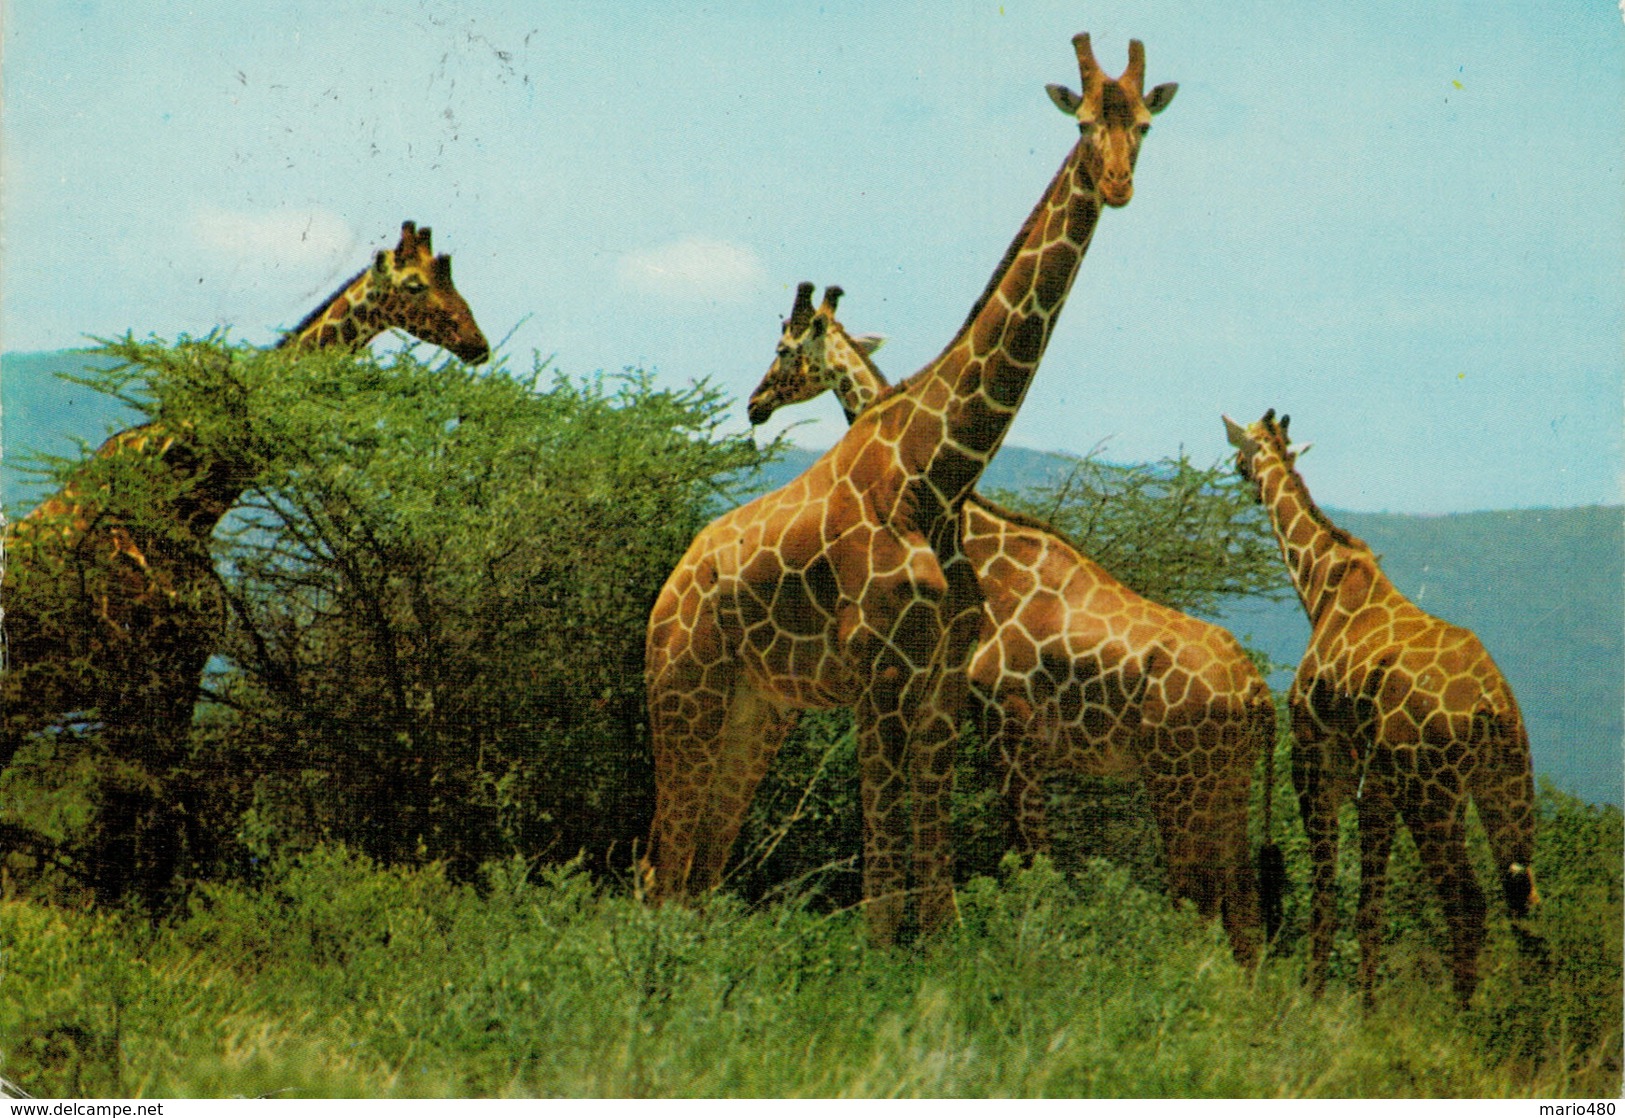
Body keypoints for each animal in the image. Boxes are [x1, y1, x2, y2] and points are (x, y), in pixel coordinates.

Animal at [1, 222, 487, 903]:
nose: (477, 344)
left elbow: (158, 813)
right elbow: (122, 822)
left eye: (453, 275)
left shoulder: (180, 670)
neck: (185, 502)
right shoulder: (131, 674)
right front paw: (120, 915)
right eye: (416, 284)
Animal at [640, 34, 1176, 942]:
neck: (939, 478)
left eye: (1141, 122)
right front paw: (871, 953)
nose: (1116, 184)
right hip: (684, 692)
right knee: (658, 863)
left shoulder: (942, 685)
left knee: (698, 864)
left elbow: (935, 873)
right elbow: (884, 865)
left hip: (757, 709)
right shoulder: (878, 675)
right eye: (1079, 119)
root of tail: (669, 586)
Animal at [744, 286, 1280, 962]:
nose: (755, 404)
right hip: (1226, 785)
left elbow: (1031, 867)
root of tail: (1260, 697)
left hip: (1181, 781)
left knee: (1203, 905)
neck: (980, 538)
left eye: (783, 348)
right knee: (1244, 913)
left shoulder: (1011, 728)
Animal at [1222, 407, 1540, 1007]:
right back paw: (1528, 1027)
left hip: (1430, 795)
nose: (1241, 475)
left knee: (1468, 903)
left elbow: (1325, 893)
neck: (1321, 587)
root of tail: (1494, 708)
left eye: (1241, 447)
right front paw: (1365, 1010)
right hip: (1504, 788)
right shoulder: (1377, 790)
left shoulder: (1316, 765)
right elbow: (1370, 908)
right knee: (1525, 907)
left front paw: (1313, 1000)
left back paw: (1460, 1022)